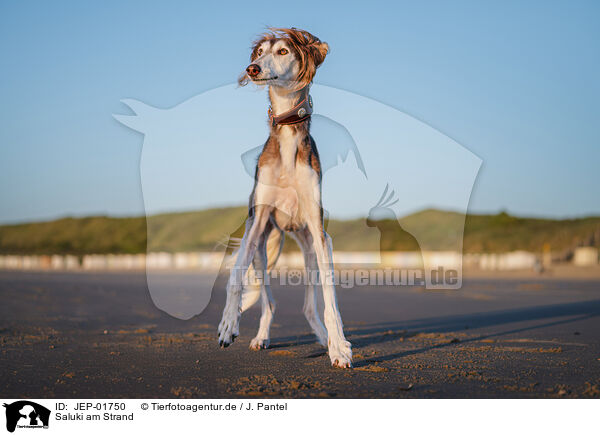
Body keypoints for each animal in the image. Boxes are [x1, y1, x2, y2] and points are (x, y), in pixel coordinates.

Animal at [217, 27, 352, 368]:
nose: (252, 69)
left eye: (282, 51)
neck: (288, 135)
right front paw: (228, 325)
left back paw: (324, 338)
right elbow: (235, 276)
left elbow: (330, 297)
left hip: (310, 247)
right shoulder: (256, 221)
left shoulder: (318, 229)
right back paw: (261, 336)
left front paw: (339, 348)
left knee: (308, 305)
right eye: (259, 52)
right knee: (270, 302)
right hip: (263, 247)